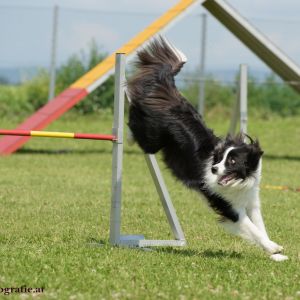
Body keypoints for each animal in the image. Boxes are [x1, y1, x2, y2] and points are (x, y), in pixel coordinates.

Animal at [126, 36, 284, 256]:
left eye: (232, 161)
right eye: (220, 159)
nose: (214, 169)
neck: (239, 183)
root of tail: (170, 93)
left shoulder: (252, 201)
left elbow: (260, 226)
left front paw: (275, 252)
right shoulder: (229, 208)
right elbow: (253, 229)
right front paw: (273, 248)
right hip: (152, 139)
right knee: (135, 125)